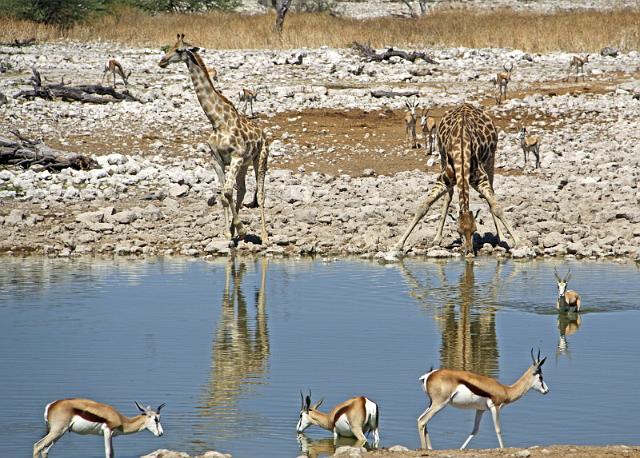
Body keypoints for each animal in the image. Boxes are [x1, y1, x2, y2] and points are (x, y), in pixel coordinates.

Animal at [33, 398, 164, 458]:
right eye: (156, 419)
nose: (161, 433)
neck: (121, 420)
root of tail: (51, 405)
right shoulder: (107, 431)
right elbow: (108, 452)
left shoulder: (111, 435)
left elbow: (113, 453)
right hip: (57, 431)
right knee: (38, 446)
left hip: (60, 433)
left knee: (45, 450)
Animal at [161, 33, 272, 242]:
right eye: (168, 47)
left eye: (179, 50)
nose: (162, 61)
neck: (218, 120)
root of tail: (264, 134)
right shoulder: (217, 159)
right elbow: (224, 195)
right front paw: (230, 232)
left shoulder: (236, 157)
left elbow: (227, 192)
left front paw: (241, 229)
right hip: (245, 164)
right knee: (242, 190)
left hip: (260, 159)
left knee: (260, 193)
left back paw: (265, 236)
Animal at [390, 102, 520, 256]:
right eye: (458, 231)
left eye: (475, 230)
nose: (469, 253)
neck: (462, 150)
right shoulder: (443, 180)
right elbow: (423, 206)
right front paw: (398, 245)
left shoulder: (481, 180)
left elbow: (496, 207)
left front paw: (518, 241)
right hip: (442, 158)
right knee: (449, 196)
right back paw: (437, 238)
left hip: (491, 158)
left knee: (491, 191)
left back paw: (501, 236)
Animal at [418, 350, 548, 450]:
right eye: (541, 377)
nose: (546, 390)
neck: (506, 390)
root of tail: (428, 375)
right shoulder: (495, 407)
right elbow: (498, 430)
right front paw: (503, 448)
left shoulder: (480, 410)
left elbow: (474, 430)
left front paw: (461, 449)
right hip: (440, 404)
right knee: (422, 421)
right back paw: (425, 450)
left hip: (432, 403)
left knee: (422, 420)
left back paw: (430, 448)